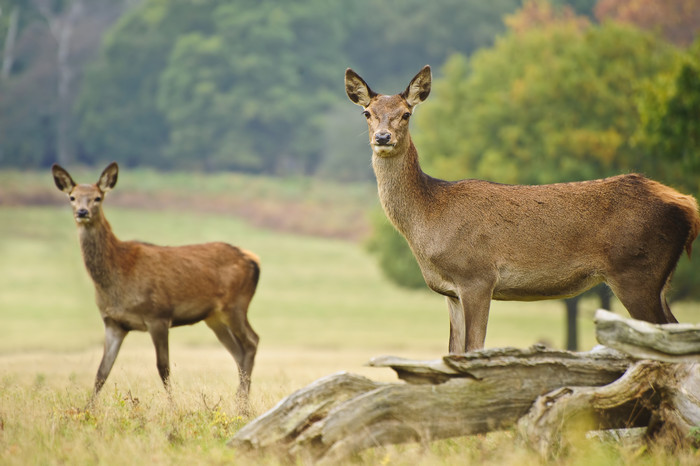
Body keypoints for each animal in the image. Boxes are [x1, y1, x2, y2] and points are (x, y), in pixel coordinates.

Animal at [52, 163, 260, 400]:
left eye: (97, 198)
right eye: (72, 197)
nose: (82, 212)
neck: (118, 274)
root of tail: (253, 260)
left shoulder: (158, 315)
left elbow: (164, 369)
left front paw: (174, 406)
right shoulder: (113, 322)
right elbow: (102, 372)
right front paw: (88, 408)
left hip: (235, 305)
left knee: (252, 342)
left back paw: (243, 402)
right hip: (214, 317)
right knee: (238, 352)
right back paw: (240, 401)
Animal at [344, 65, 700, 354]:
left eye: (406, 113)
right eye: (367, 112)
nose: (383, 137)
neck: (429, 216)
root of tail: (689, 206)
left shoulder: (477, 276)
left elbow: (474, 348)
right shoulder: (450, 292)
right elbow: (453, 353)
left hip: (636, 270)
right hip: (658, 277)